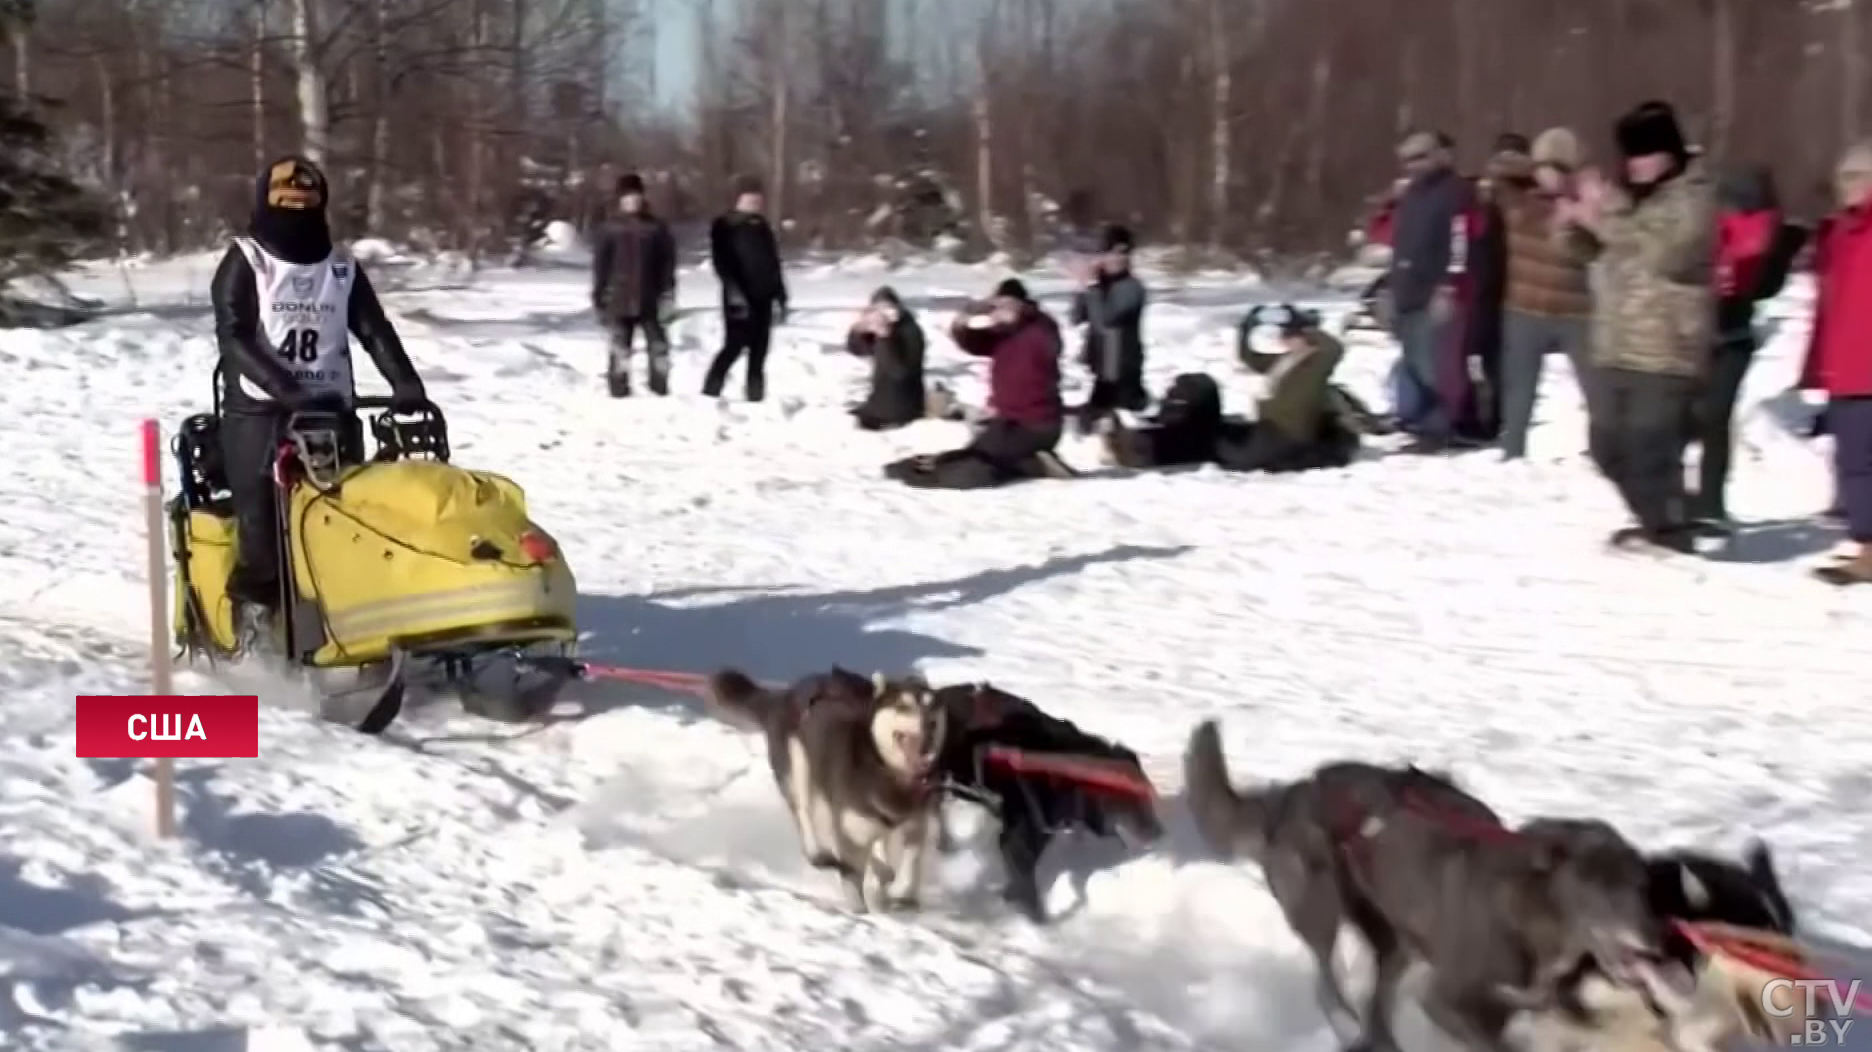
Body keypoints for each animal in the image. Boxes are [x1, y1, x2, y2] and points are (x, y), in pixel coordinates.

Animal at [711, 666, 950, 905]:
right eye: (903, 706)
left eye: (932, 706)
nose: (930, 725)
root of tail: (787, 693)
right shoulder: (851, 834)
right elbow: (854, 884)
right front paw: (861, 909)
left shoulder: (914, 825)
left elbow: (911, 862)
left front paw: (902, 891)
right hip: (799, 770)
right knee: (804, 813)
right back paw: (818, 854)